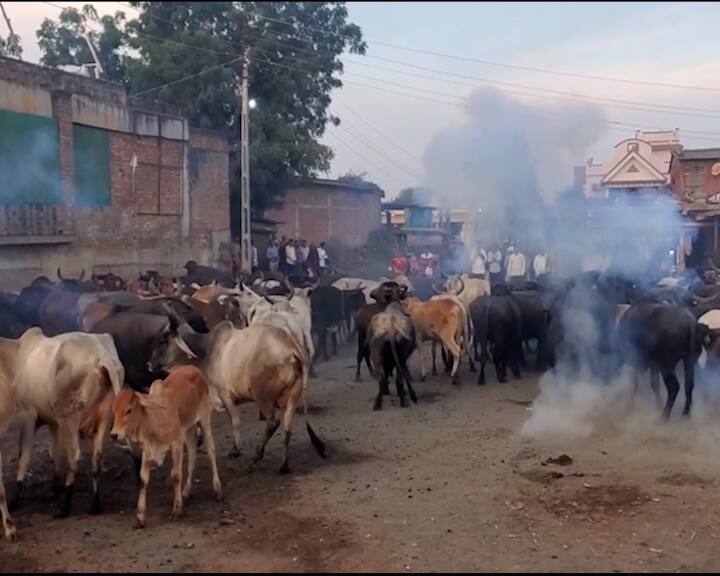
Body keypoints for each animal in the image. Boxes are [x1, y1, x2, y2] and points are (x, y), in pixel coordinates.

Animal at [5, 328, 122, 516]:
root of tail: (101, 355)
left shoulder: (28, 416)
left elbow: (24, 456)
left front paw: (16, 500)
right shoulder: (53, 422)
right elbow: (54, 452)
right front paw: (55, 488)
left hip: (70, 419)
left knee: (74, 456)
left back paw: (65, 507)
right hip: (103, 419)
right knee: (96, 458)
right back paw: (95, 505)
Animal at [109, 366, 221, 528]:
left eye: (129, 410)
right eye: (114, 410)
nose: (113, 434)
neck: (155, 419)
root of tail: (194, 369)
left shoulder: (176, 444)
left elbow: (176, 475)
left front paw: (177, 510)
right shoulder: (147, 450)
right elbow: (143, 479)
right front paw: (140, 516)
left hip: (204, 419)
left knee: (211, 451)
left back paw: (217, 489)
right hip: (187, 429)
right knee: (193, 453)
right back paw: (186, 491)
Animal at [149, 320, 326, 472]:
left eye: (163, 341)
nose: (149, 364)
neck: (205, 352)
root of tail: (292, 349)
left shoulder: (224, 394)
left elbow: (234, 420)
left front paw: (235, 450)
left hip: (262, 397)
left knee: (272, 422)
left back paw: (257, 455)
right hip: (292, 398)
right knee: (287, 429)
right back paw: (283, 465)